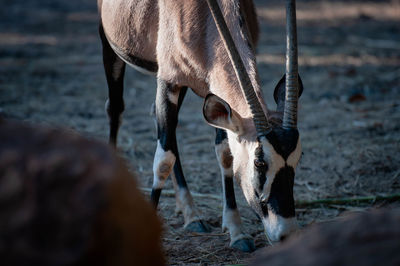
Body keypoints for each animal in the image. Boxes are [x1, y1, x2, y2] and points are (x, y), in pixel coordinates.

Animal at [99, 0, 304, 251]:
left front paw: (237, 231)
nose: (287, 234)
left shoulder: (214, 93)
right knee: (116, 109)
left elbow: (225, 154)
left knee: (166, 126)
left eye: (298, 158)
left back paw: (191, 214)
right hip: (111, 47)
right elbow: (163, 161)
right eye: (260, 162)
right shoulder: (169, 81)